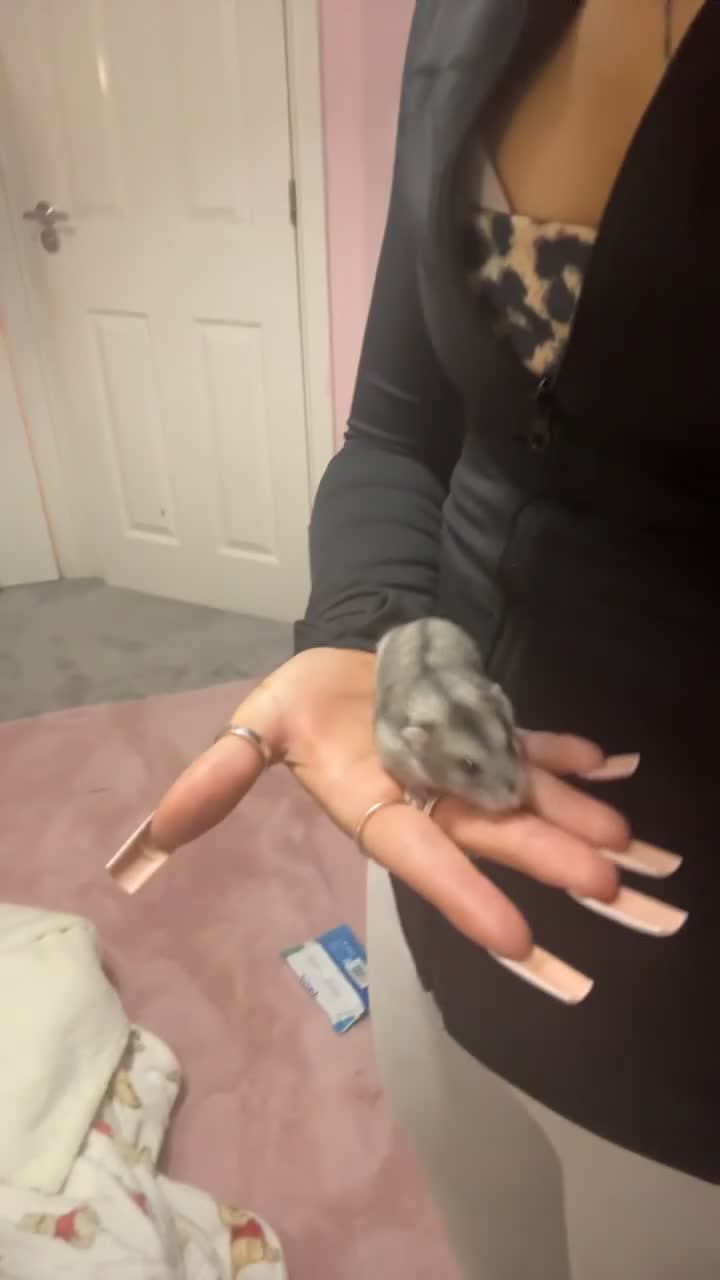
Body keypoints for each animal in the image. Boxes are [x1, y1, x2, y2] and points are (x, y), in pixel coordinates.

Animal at [374, 617, 528, 812]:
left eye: (508, 742)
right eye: (468, 766)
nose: (517, 801)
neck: (447, 700)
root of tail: (421, 620)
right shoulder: (392, 750)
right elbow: (411, 780)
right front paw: (416, 800)